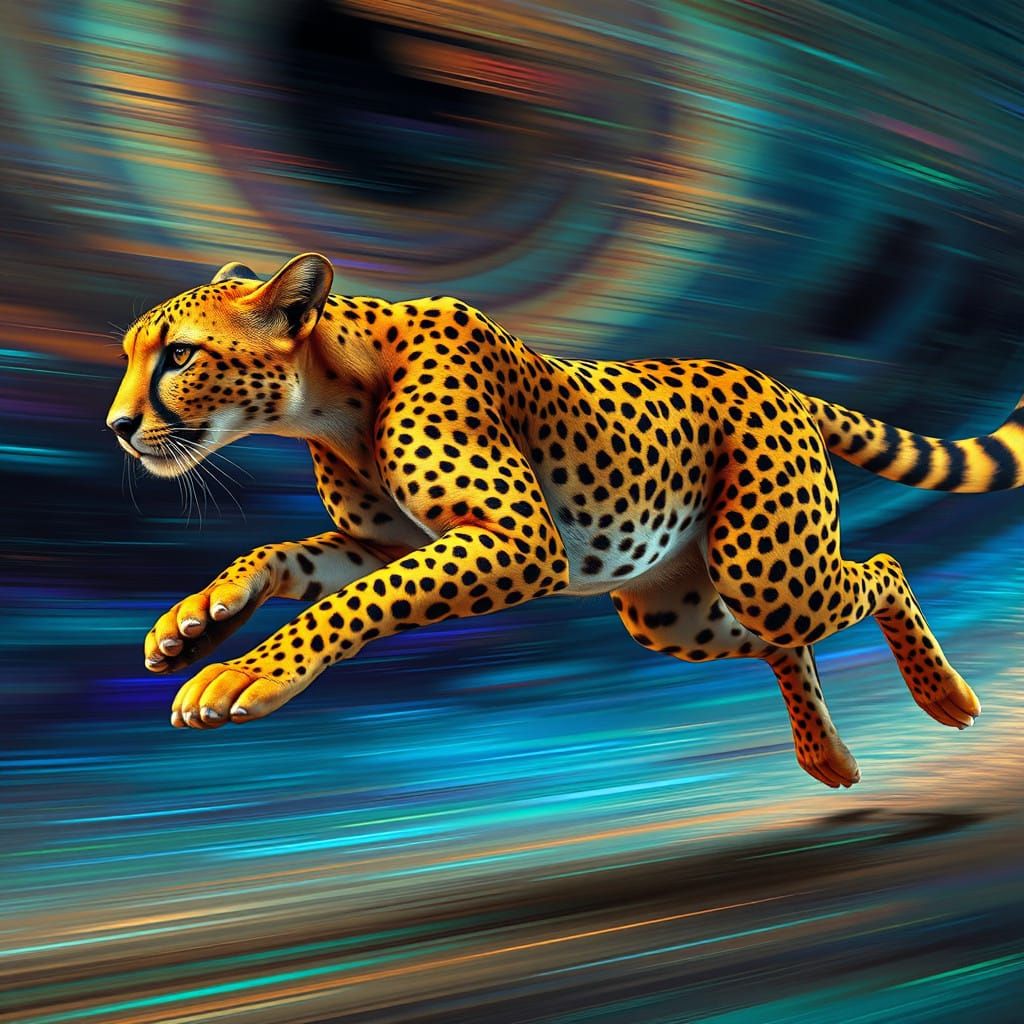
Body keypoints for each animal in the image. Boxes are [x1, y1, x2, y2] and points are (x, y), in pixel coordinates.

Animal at [108, 252, 1021, 788]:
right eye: (128, 355)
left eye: (181, 355)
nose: (116, 426)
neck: (333, 392)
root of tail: (777, 382)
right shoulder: (382, 544)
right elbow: (286, 557)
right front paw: (194, 623)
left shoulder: (518, 543)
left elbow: (349, 606)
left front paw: (245, 674)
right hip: (673, 611)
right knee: (781, 641)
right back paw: (827, 755)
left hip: (770, 569)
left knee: (884, 570)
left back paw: (946, 696)